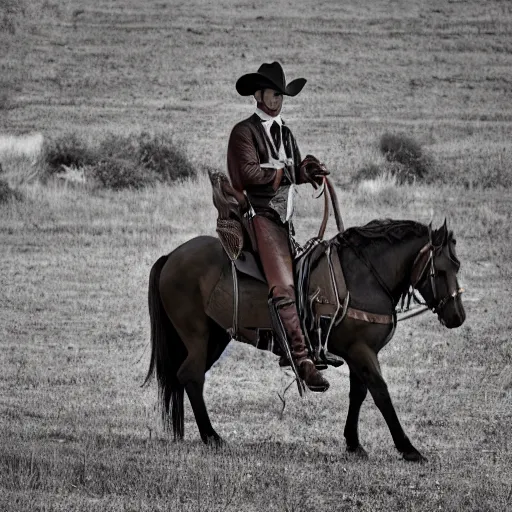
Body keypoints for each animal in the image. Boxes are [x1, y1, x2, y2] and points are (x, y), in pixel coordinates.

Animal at [143, 218, 464, 462]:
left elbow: (358, 394)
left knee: (185, 376)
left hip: (215, 337)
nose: (457, 316)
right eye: (441, 270)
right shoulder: (362, 351)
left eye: (457, 266)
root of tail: (171, 257)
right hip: (196, 335)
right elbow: (381, 393)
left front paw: (353, 443)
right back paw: (212, 436)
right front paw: (408, 448)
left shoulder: (357, 353)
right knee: (192, 375)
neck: (364, 277)